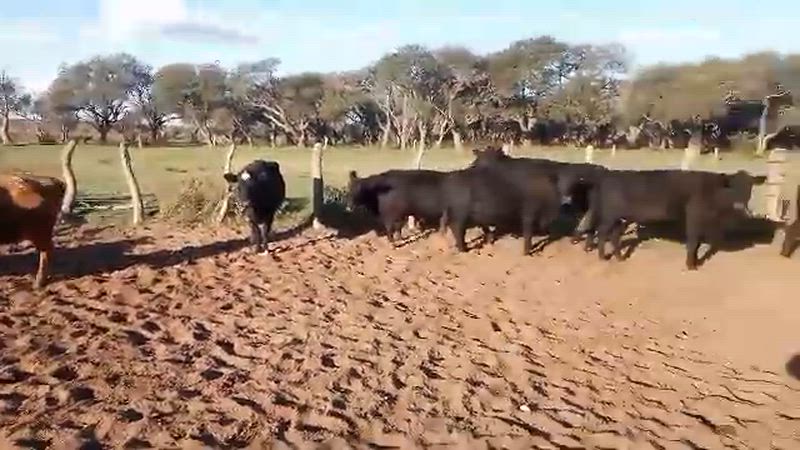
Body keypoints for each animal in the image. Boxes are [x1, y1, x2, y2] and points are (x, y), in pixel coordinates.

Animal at [584, 169, 766, 270]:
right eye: (732, 186)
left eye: (750, 187)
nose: (740, 205)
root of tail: (607, 176)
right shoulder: (693, 216)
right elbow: (693, 242)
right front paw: (691, 265)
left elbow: (698, 243)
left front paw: (694, 262)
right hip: (610, 215)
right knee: (602, 232)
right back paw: (602, 257)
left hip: (620, 217)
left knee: (614, 235)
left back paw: (620, 257)